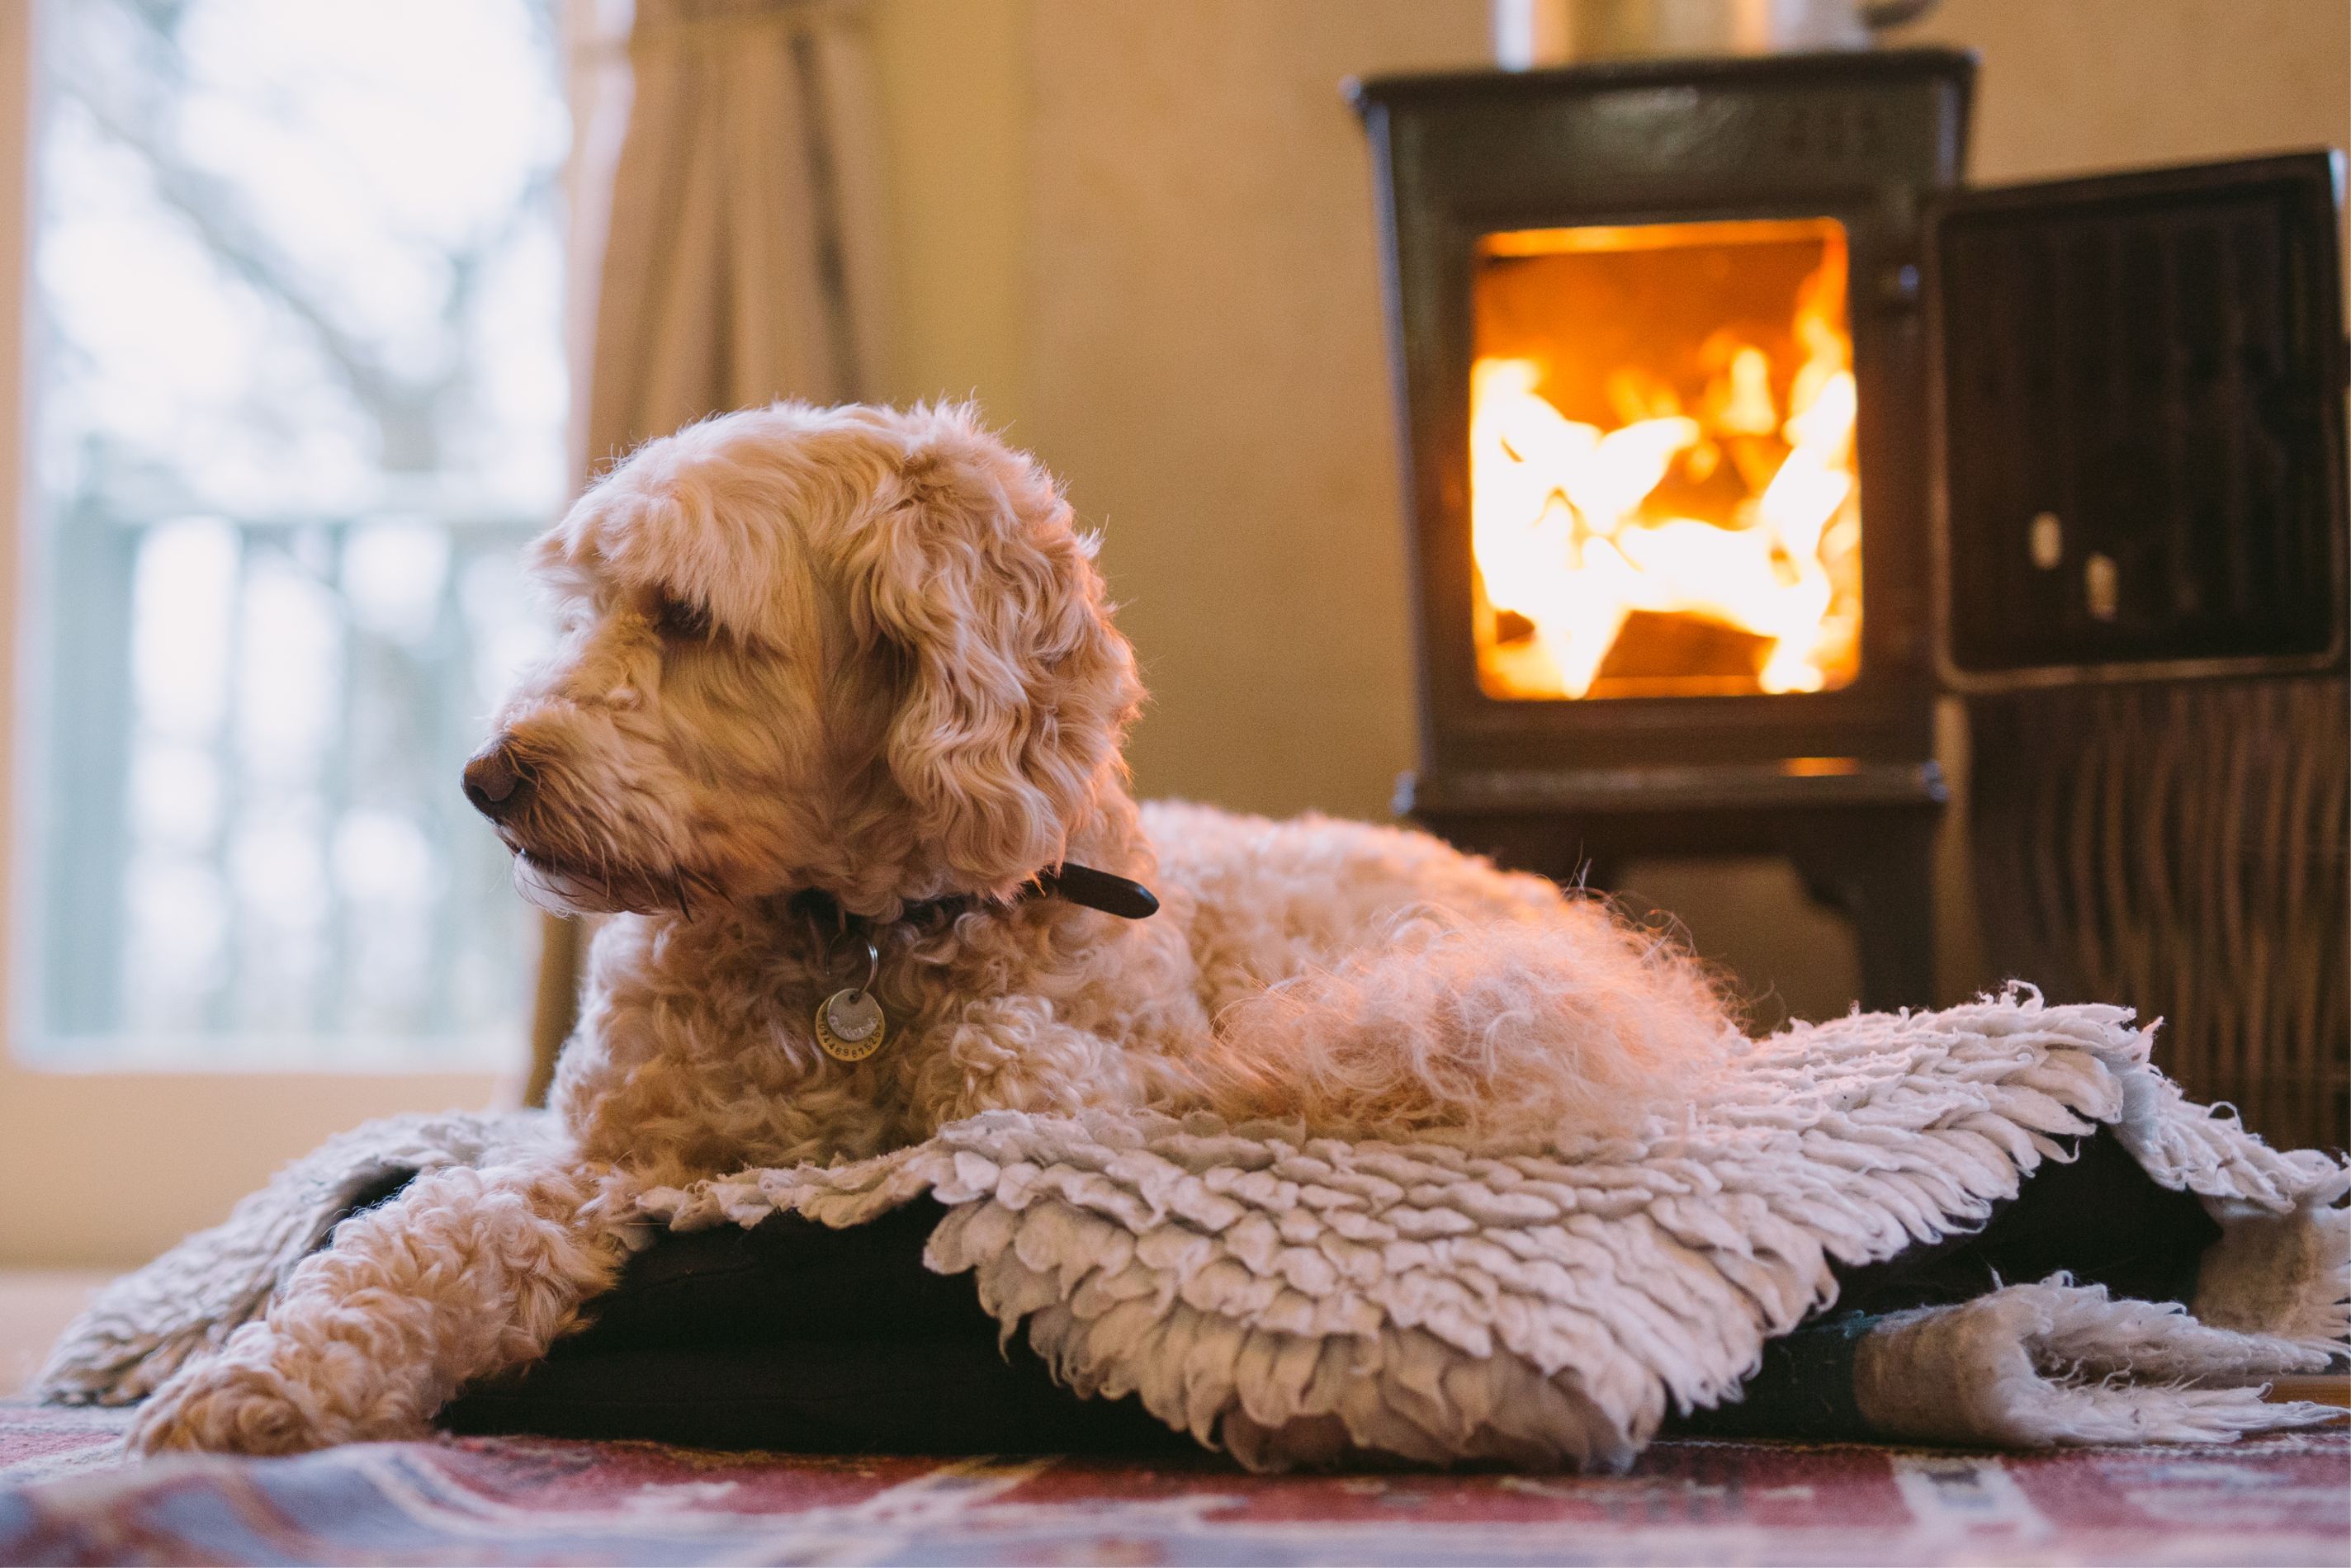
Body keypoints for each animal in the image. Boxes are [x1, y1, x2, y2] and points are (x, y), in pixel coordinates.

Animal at [133, 399, 1730, 1457]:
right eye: (586, 603)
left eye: (686, 618)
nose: (486, 777)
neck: (851, 940)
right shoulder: (608, 1164)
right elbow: (421, 1235)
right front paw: (263, 1383)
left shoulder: (1115, 1087)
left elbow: (1015, 1077)